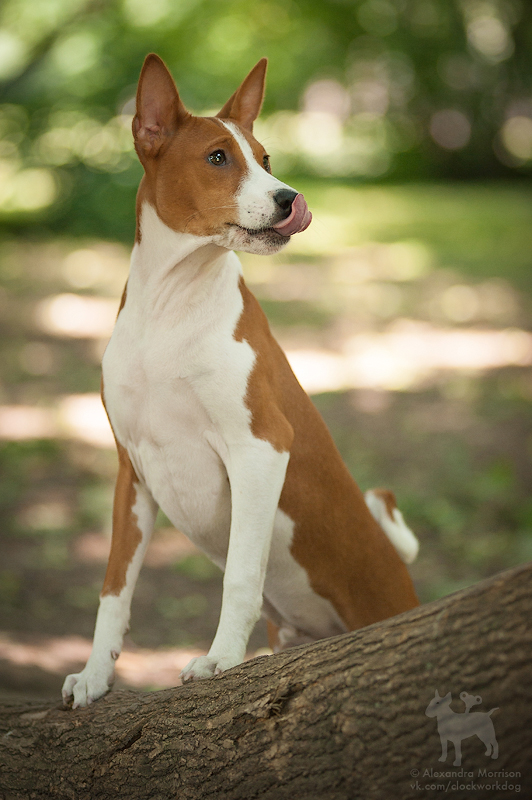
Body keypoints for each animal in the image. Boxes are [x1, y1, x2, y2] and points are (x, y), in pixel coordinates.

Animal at [63, 54, 420, 708]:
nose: (290, 198)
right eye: (217, 158)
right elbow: (113, 590)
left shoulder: (260, 447)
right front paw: (95, 676)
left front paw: (222, 661)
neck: (170, 313)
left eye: (266, 157)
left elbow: (240, 574)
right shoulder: (132, 471)